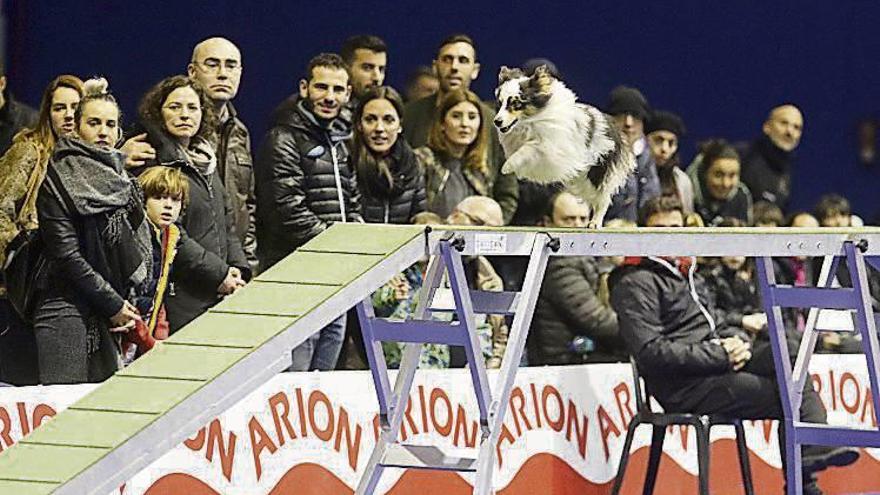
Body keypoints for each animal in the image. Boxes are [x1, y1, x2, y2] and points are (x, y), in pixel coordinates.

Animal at [496, 65, 632, 229]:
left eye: (516, 104)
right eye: (500, 103)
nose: (497, 121)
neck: (530, 121)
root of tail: (616, 129)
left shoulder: (549, 148)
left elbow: (528, 148)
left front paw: (508, 166)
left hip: (597, 174)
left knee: (603, 199)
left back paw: (595, 222)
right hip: (581, 178)